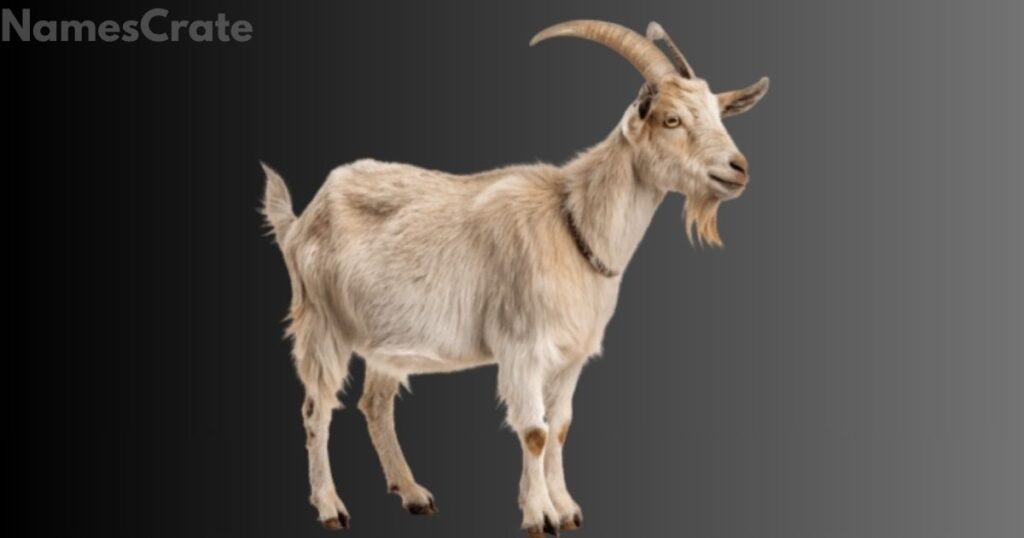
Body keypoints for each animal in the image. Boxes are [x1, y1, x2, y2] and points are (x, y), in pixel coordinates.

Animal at [263, 19, 769, 536]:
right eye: (671, 120)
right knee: (316, 409)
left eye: (719, 115)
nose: (738, 168)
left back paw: (413, 494)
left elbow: (560, 428)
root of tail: (302, 219)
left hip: (384, 340)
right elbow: (534, 432)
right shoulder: (522, 347)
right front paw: (539, 515)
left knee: (376, 405)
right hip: (321, 324)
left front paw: (566, 508)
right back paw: (330, 507)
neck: (573, 224)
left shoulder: (570, 357)